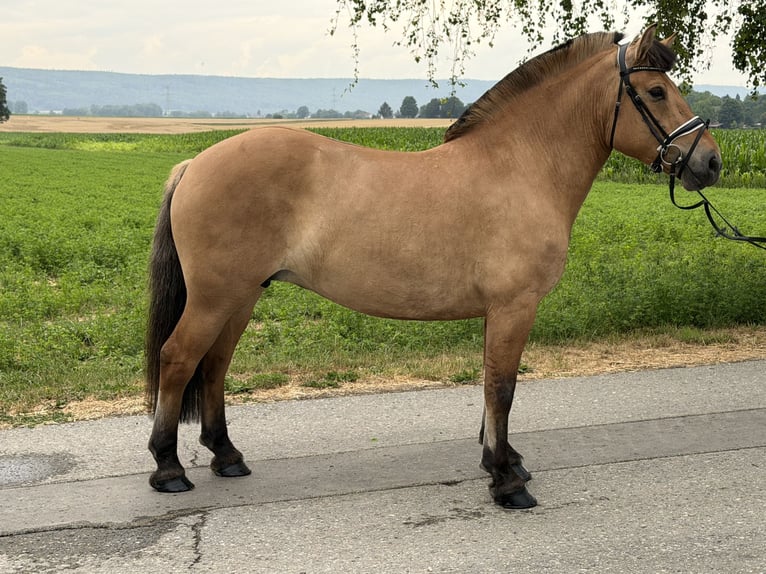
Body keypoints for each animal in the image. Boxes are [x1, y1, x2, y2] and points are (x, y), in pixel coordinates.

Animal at [145, 25, 721, 509]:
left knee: (214, 365)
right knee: (178, 359)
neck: (521, 167)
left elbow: (491, 389)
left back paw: (226, 456)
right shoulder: (514, 307)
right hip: (217, 296)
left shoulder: (499, 311)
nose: (711, 162)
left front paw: (502, 462)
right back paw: (169, 468)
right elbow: (502, 387)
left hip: (242, 295)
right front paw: (507, 484)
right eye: (655, 92)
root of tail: (195, 163)